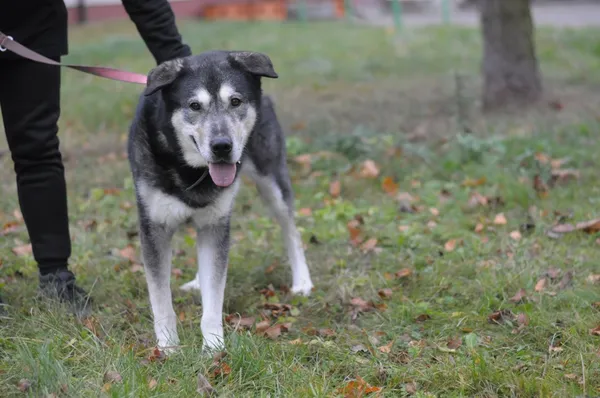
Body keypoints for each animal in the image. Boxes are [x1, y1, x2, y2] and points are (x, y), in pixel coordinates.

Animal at [126, 51, 314, 352]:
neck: (191, 170)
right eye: (194, 105)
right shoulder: (154, 228)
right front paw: (168, 347)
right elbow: (161, 301)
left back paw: (302, 281)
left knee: (291, 230)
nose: (222, 146)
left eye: (235, 101)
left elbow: (214, 297)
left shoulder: (216, 225)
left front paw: (213, 346)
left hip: (272, 181)